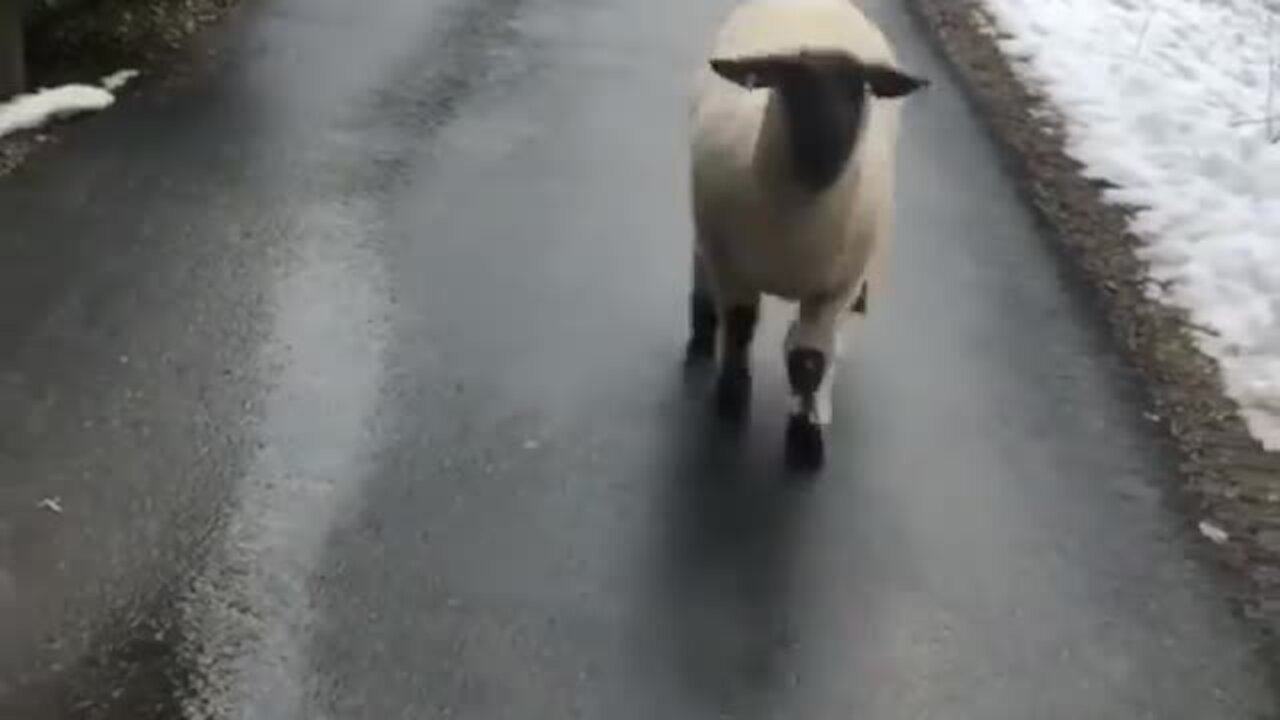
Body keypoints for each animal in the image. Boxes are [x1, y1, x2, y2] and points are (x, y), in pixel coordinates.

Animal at [680, 0, 931, 471]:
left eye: (858, 90)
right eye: (790, 85)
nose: (826, 149)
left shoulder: (834, 288)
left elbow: (808, 361)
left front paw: (805, 436)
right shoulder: (733, 266)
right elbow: (740, 328)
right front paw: (731, 398)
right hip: (712, 238)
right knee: (701, 261)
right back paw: (703, 329)